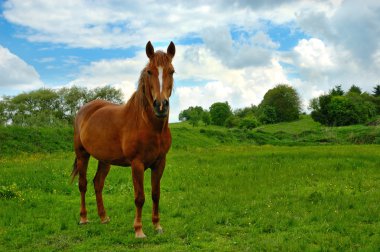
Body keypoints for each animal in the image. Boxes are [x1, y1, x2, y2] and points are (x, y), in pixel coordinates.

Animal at [71, 41, 175, 238]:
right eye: (149, 72)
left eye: (172, 71)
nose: (160, 106)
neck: (148, 125)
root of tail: (85, 109)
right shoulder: (137, 164)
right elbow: (139, 197)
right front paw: (139, 230)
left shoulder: (160, 163)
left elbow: (155, 194)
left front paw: (157, 226)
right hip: (82, 155)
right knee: (82, 185)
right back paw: (83, 218)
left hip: (104, 160)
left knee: (98, 183)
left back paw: (104, 217)